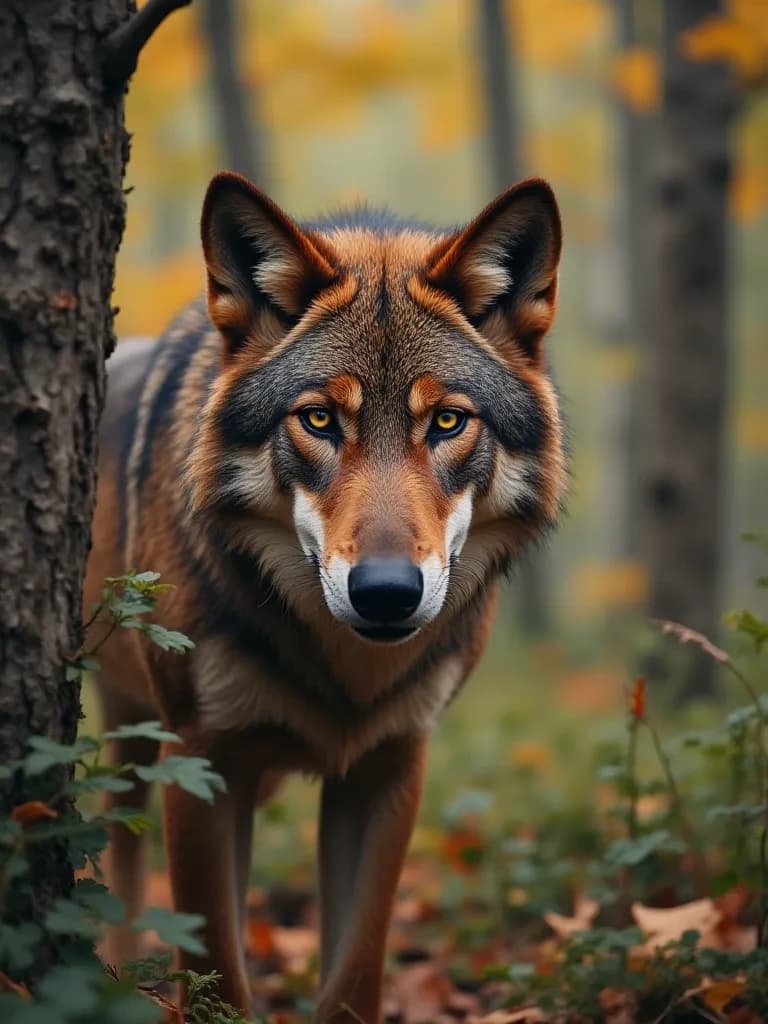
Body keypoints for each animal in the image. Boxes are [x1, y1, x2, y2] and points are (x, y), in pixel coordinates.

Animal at [85, 171, 566, 1021]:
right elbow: (218, 971)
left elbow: (355, 972)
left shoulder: (389, 767)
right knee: (122, 854)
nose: (386, 593)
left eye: (448, 422)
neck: (346, 672)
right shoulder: (201, 764)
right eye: (318, 419)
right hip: (137, 736)